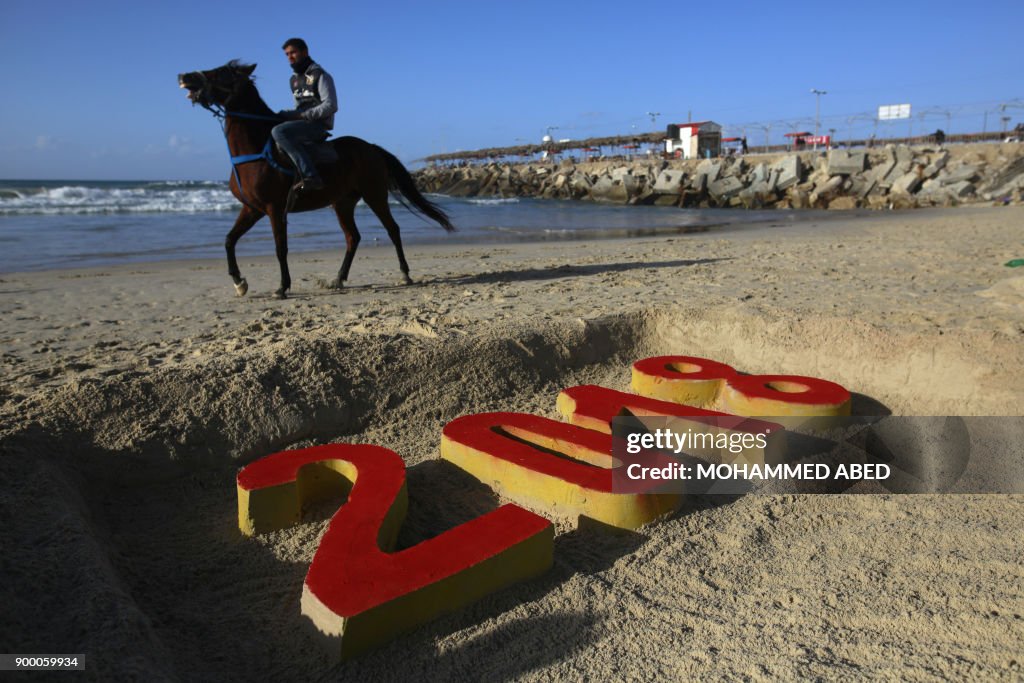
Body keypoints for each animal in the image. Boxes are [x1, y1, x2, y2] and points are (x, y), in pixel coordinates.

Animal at [176, 62, 452, 299]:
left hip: (374, 195)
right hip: (342, 203)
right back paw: (338, 279)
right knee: (353, 238)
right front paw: (239, 282)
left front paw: (282, 287)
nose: (184, 76)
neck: (254, 152)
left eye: (221, 72)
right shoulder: (252, 209)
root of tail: (371, 148)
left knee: (392, 229)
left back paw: (405, 274)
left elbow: (280, 248)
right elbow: (229, 240)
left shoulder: (275, 209)